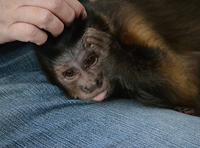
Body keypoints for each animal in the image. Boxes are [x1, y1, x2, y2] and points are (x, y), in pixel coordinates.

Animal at [34, 0, 200, 115]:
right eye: (69, 73)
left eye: (91, 60)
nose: (91, 85)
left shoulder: (128, 21)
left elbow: (186, 86)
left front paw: (113, 53)